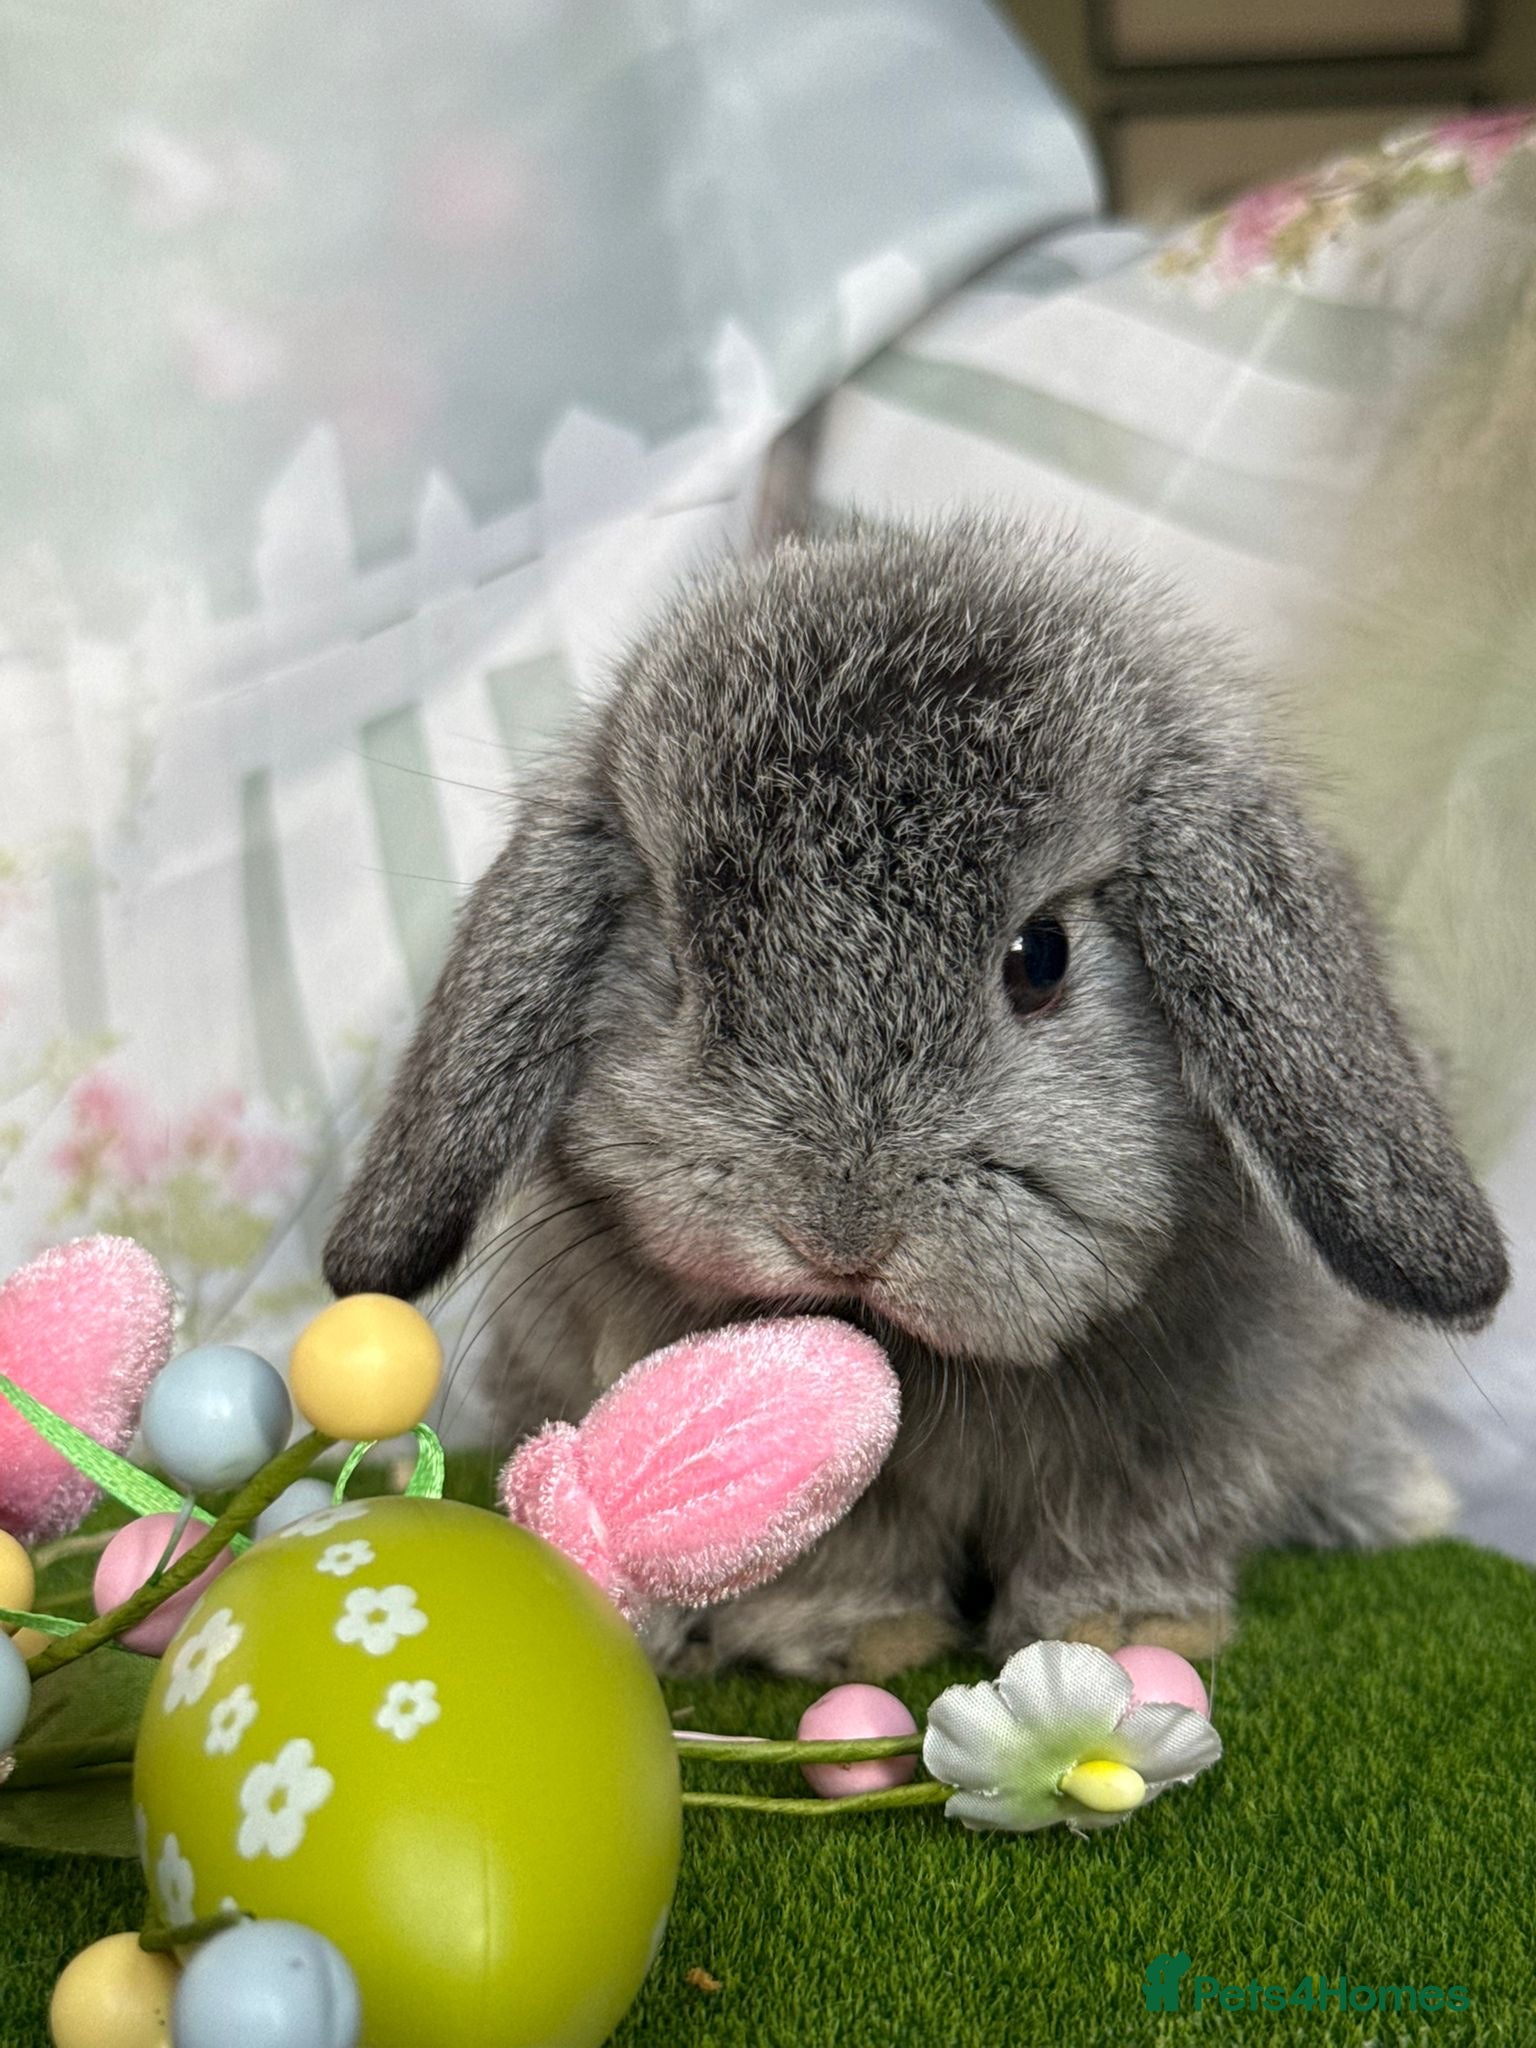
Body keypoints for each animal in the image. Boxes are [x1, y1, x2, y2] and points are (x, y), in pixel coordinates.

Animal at [324, 517, 1509, 1679]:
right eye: (680, 965)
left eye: (1042, 955)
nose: (840, 1239)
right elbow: (844, 1544)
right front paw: (856, 1638)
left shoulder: (1187, 1429)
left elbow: (1129, 1524)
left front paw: (1122, 1631)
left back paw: (1392, 1502)